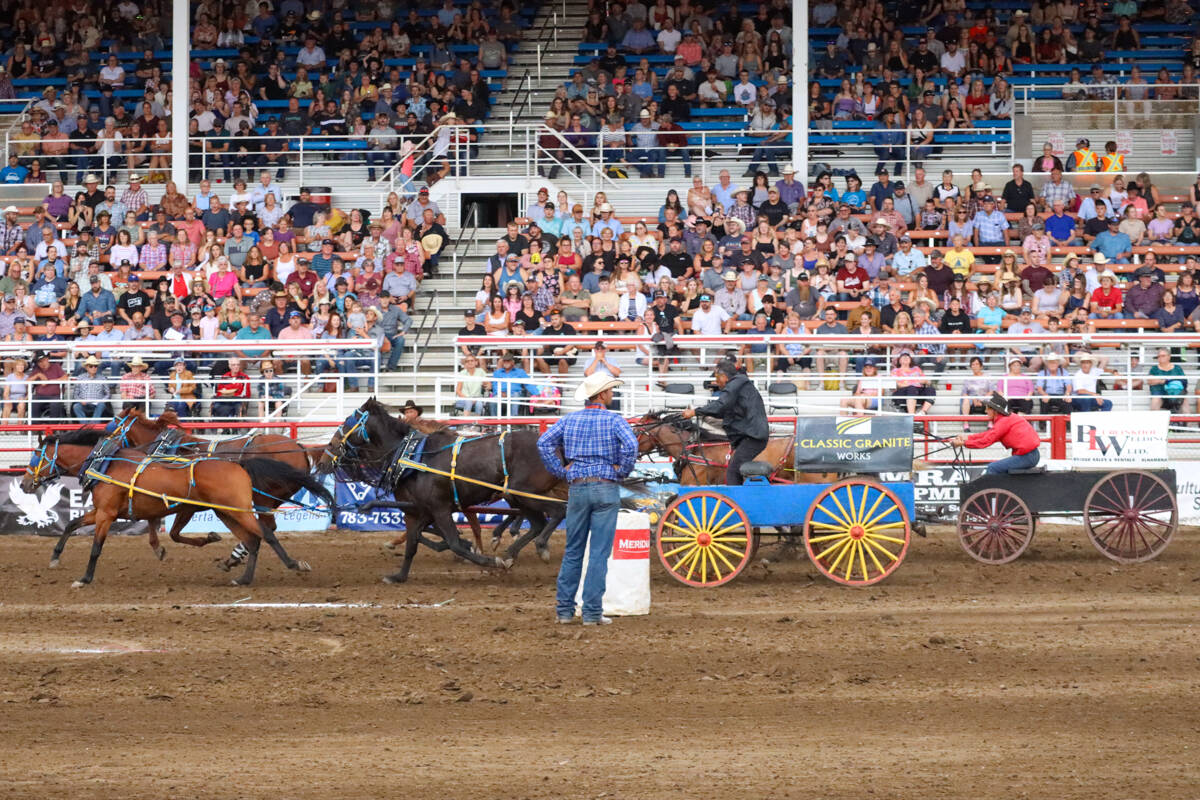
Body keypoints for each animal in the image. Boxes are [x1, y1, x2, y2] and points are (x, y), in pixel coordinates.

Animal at [27, 424, 319, 587]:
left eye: (36, 457)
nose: (26, 482)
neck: (105, 463)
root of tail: (239, 464)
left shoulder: (107, 515)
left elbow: (96, 548)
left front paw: (85, 579)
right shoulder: (101, 511)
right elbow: (72, 524)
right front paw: (55, 557)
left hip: (239, 509)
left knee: (265, 532)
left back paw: (294, 564)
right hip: (228, 512)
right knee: (253, 539)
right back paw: (241, 576)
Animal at [316, 398, 564, 582]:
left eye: (347, 422)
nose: (325, 455)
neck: (412, 457)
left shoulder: (440, 508)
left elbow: (454, 542)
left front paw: (488, 561)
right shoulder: (419, 511)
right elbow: (413, 543)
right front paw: (399, 576)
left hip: (525, 494)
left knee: (556, 513)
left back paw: (538, 546)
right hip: (520, 498)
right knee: (538, 522)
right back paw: (512, 552)